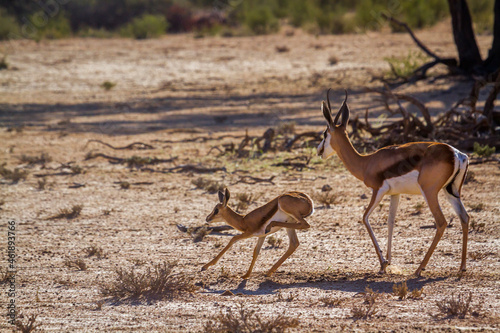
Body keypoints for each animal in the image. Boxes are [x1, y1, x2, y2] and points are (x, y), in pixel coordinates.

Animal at [316, 88, 468, 274]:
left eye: (325, 134)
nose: (319, 151)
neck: (366, 162)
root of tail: (456, 154)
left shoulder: (378, 191)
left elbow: (365, 218)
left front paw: (382, 263)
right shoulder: (395, 194)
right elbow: (390, 222)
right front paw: (388, 262)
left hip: (430, 192)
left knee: (441, 222)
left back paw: (419, 268)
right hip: (451, 191)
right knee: (464, 218)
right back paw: (462, 267)